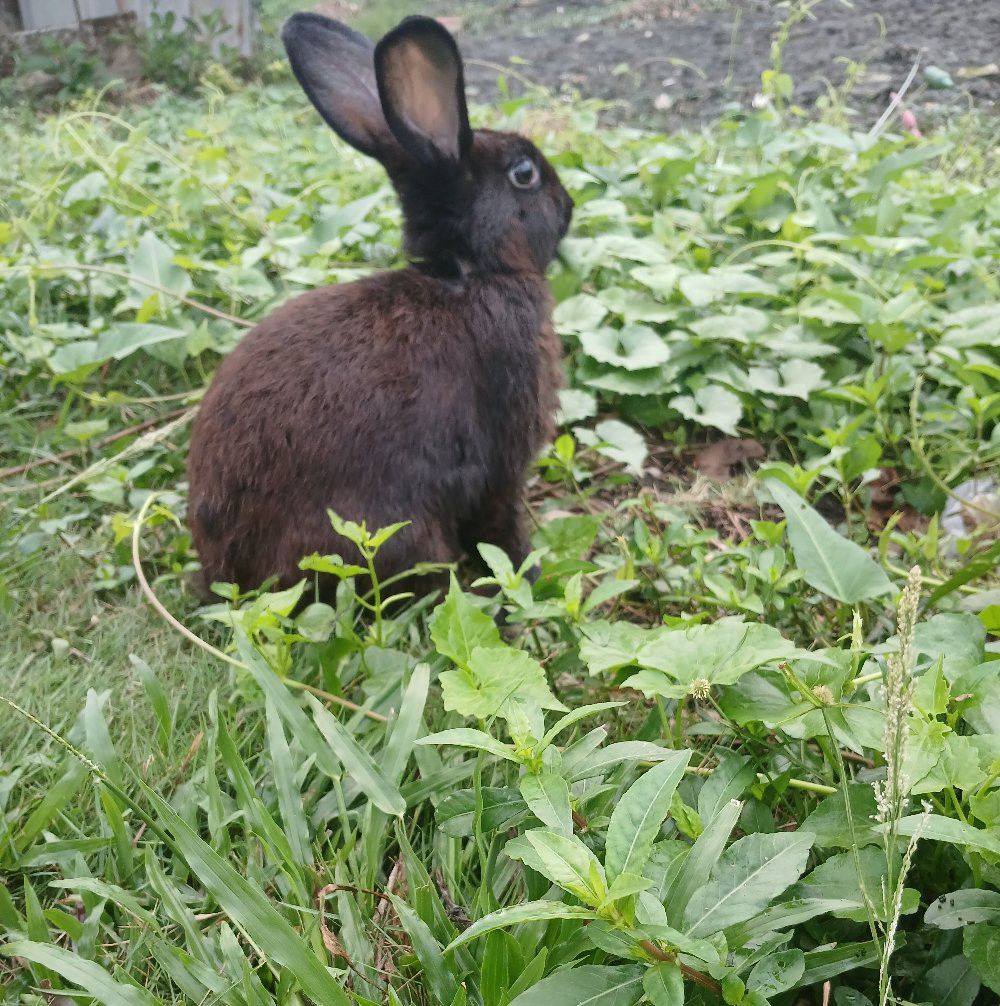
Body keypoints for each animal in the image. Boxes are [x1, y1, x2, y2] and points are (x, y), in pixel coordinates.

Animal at [185, 12, 573, 601]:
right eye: (524, 173)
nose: (570, 204)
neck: (467, 272)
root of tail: (233, 577)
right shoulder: (502, 463)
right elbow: (501, 528)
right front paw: (525, 578)